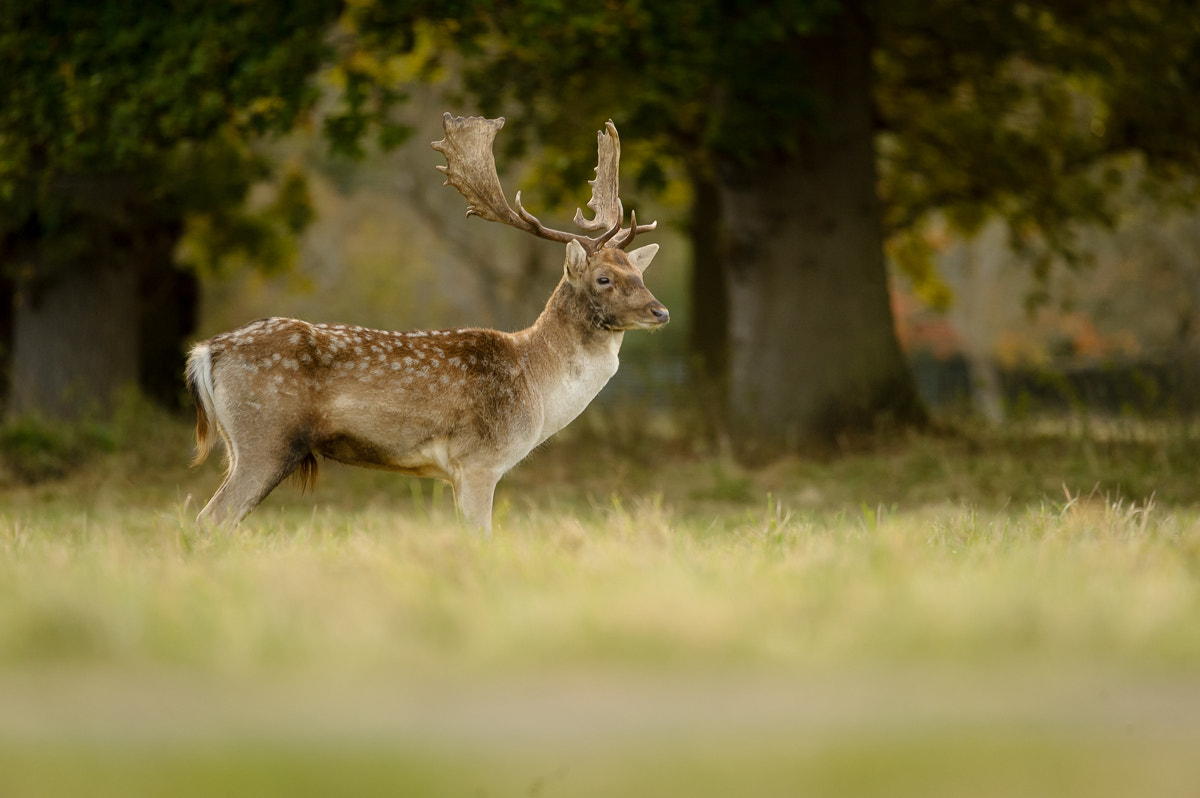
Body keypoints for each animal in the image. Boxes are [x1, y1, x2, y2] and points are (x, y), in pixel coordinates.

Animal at [185, 113, 668, 536]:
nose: (661, 312)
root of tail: (206, 352)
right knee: (208, 521)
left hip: (243, 445)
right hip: (264, 438)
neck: (534, 383)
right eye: (603, 278)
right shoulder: (479, 461)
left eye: (638, 272)